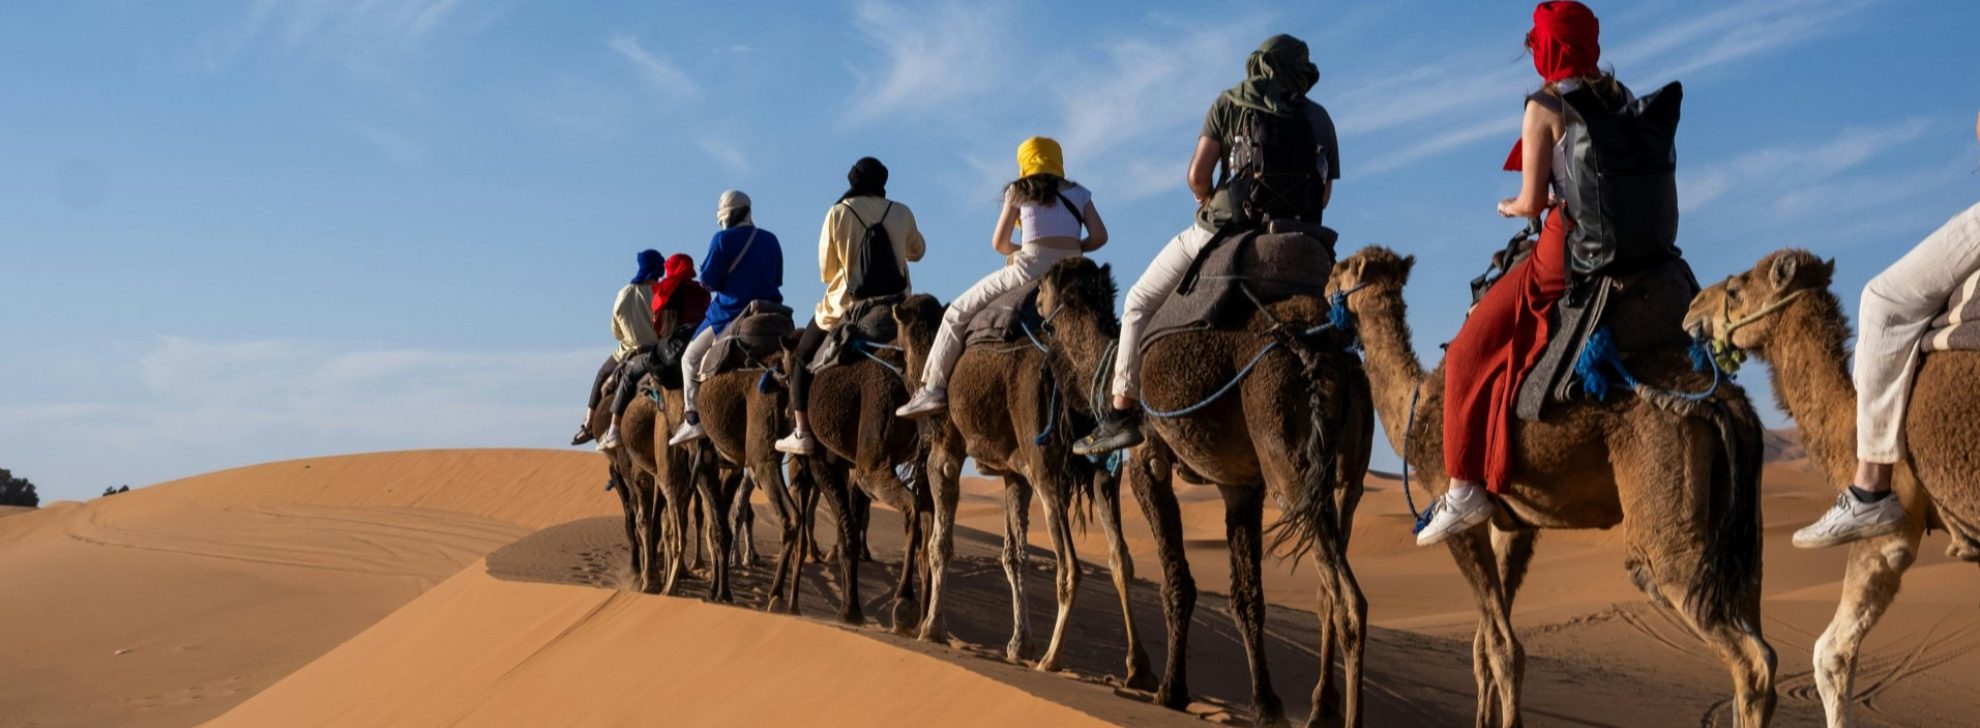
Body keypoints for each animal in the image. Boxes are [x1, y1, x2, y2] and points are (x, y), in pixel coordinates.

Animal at [780, 302, 934, 633]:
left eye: (786, 373)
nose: (787, 412)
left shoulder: (824, 461)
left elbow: (847, 531)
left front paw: (848, 612)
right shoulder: (847, 464)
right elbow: (848, 527)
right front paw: (851, 607)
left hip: (872, 461)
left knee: (912, 508)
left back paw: (905, 601)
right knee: (929, 523)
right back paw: (925, 621)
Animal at [894, 259, 1156, 684]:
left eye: (898, 342)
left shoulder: (947, 451)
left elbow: (940, 543)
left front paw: (931, 628)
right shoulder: (1015, 474)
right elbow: (1014, 555)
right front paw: (1019, 645)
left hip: (1047, 469)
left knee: (1071, 567)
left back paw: (1053, 658)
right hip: (1101, 472)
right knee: (1120, 558)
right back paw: (1138, 667)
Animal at [1124, 267, 1386, 728]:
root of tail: (1316, 352)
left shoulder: (1147, 460)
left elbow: (1176, 582)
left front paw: (1171, 690)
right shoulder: (1241, 487)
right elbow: (1247, 597)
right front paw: (1265, 704)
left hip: (1288, 463)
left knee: (1349, 601)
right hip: (1344, 479)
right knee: (1330, 590)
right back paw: (1321, 708)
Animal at [1330, 246, 1782, 728]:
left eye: (1340, 270)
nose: (1324, 287)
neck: (1415, 411)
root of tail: (1726, 401)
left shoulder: (1457, 515)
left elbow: (1503, 649)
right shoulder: (1513, 524)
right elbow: (1484, 648)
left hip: (1665, 489)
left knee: (1746, 655)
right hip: (1738, 526)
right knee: (1757, 626)